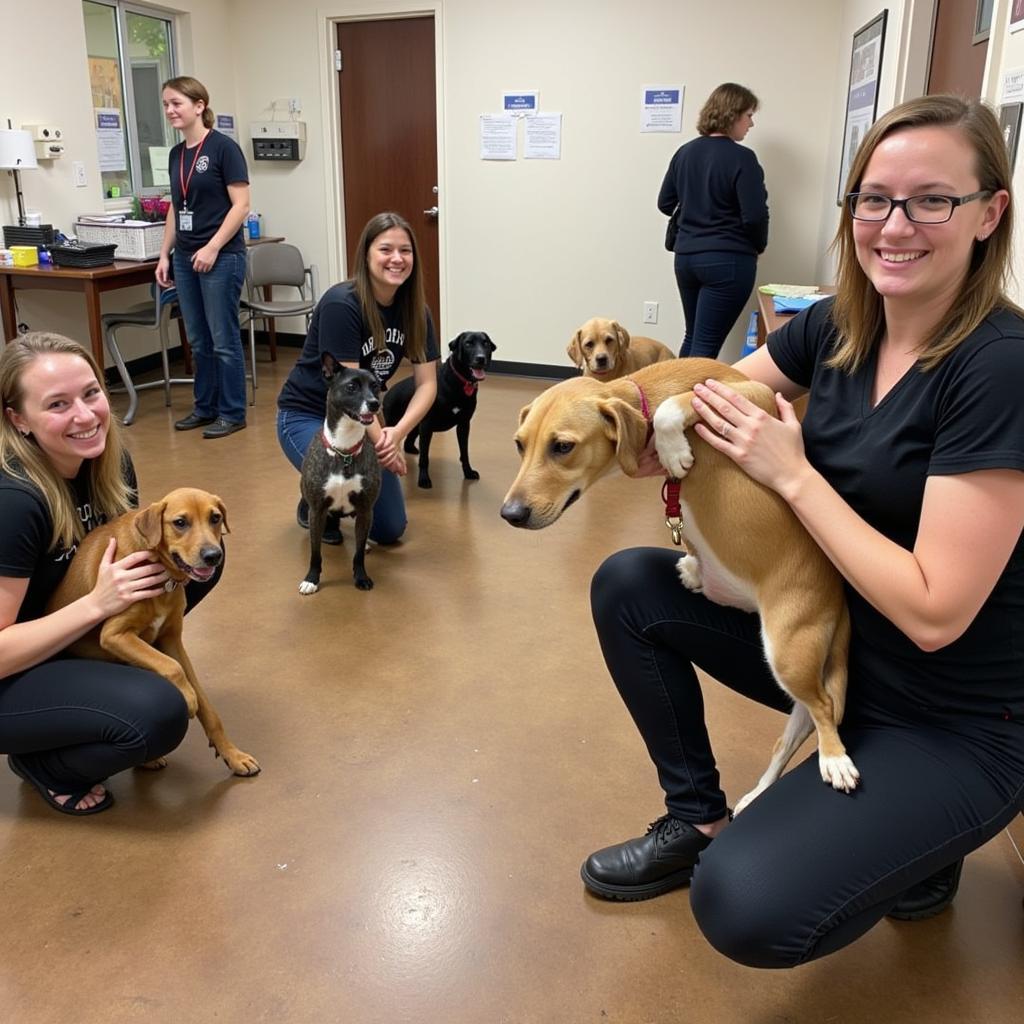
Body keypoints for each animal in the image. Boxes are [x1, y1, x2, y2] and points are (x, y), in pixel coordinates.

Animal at [47, 487, 260, 774]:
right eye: (180, 522)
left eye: (215, 518)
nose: (213, 555)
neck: (160, 573)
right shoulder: (115, 635)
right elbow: (173, 668)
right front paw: (187, 698)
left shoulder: (171, 640)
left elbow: (206, 704)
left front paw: (232, 754)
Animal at [301, 354, 385, 589]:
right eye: (351, 387)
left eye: (375, 386)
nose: (374, 404)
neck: (344, 449)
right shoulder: (317, 509)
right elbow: (315, 552)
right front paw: (311, 578)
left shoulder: (365, 509)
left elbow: (358, 554)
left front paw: (361, 576)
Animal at [382, 327, 497, 487]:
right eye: (468, 343)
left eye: (485, 344)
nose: (481, 358)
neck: (459, 382)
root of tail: (388, 393)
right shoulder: (427, 425)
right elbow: (425, 458)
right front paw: (424, 479)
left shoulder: (464, 425)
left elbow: (464, 453)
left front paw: (468, 472)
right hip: (396, 423)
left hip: (416, 422)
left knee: (409, 440)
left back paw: (411, 449)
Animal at [501, 360, 856, 815]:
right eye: (519, 444)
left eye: (562, 446)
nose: (510, 514)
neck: (648, 390)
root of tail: (840, 601)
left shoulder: (753, 397)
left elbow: (673, 408)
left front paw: (673, 450)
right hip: (794, 668)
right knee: (791, 734)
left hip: (790, 652)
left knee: (824, 709)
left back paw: (835, 760)